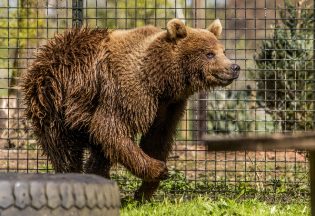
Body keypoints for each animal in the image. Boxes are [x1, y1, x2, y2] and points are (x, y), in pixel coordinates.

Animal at [21, 18, 239, 201]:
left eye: (223, 51)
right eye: (209, 54)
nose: (234, 67)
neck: (161, 80)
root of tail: (44, 53)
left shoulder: (169, 105)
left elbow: (156, 138)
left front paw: (145, 191)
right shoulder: (126, 91)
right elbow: (111, 129)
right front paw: (159, 169)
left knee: (99, 153)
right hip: (53, 104)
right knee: (64, 149)